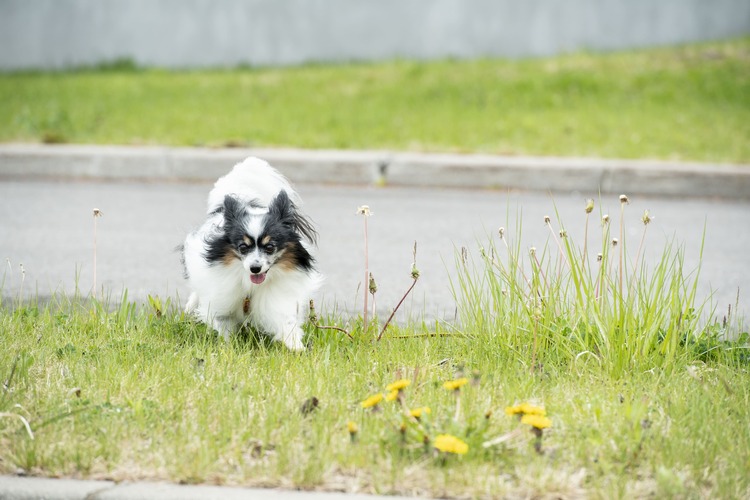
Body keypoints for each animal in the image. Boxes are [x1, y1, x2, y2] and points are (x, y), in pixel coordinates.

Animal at [184, 158, 324, 350]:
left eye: (270, 247)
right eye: (243, 247)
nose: (255, 268)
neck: (252, 285)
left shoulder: (277, 301)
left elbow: (287, 325)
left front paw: (297, 348)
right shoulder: (222, 300)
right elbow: (223, 325)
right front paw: (228, 346)